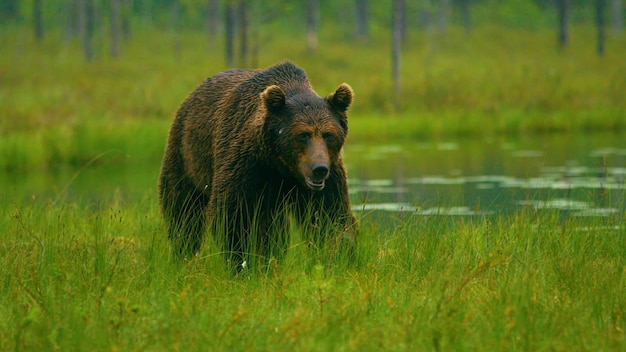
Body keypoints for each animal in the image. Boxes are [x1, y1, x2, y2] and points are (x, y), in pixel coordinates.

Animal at [157, 61, 356, 270]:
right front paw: (244, 262)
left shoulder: (330, 174)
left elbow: (330, 217)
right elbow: (233, 215)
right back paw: (183, 253)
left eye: (328, 135)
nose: (319, 169)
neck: (280, 164)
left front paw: (336, 257)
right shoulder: (246, 163)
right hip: (187, 155)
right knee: (183, 211)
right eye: (303, 135)